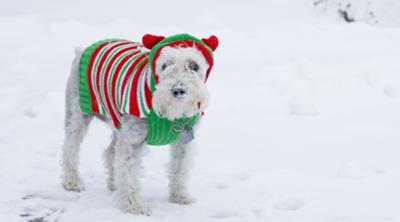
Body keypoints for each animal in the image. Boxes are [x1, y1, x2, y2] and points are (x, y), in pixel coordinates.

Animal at [60, 33, 219, 215]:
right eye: (164, 65)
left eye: (194, 66)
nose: (178, 90)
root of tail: (82, 50)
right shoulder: (132, 140)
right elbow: (129, 174)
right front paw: (135, 207)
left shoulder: (183, 142)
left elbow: (179, 169)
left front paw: (179, 196)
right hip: (77, 115)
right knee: (70, 148)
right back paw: (72, 182)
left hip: (118, 123)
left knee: (111, 152)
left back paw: (115, 184)